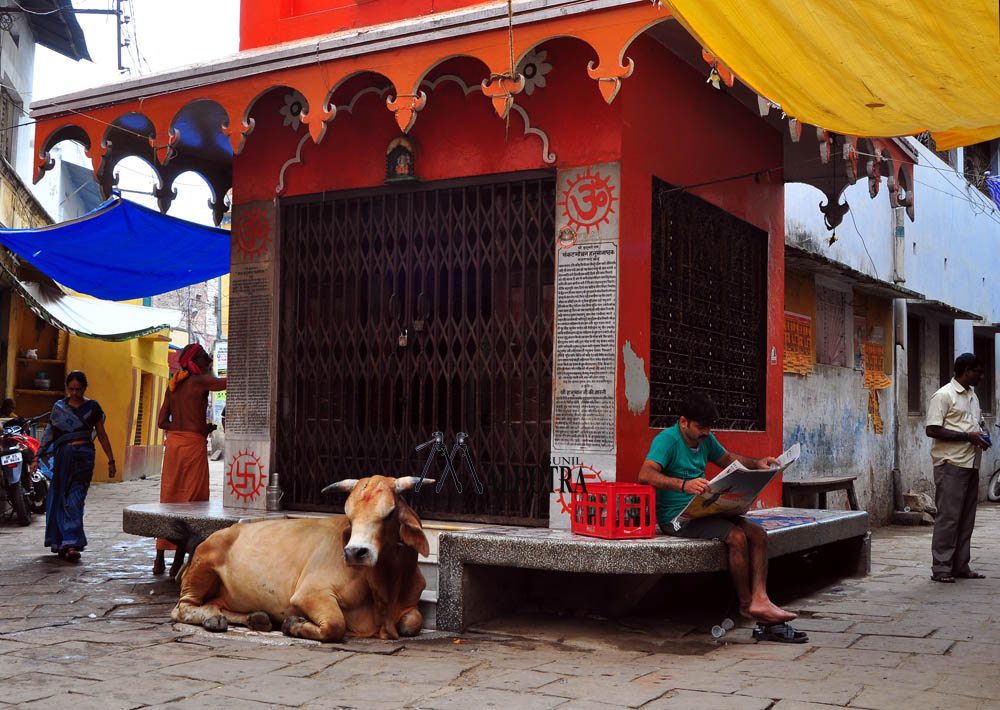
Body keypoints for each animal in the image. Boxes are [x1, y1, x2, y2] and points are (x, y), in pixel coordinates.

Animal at [169, 476, 434, 644]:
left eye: (389, 513)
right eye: (349, 516)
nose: (354, 552)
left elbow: (413, 622)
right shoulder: (310, 594)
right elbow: (335, 625)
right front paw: (292, 624)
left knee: (216, 604)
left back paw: (254, 619)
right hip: (203, 565)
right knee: (182, 607)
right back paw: (213, 618)